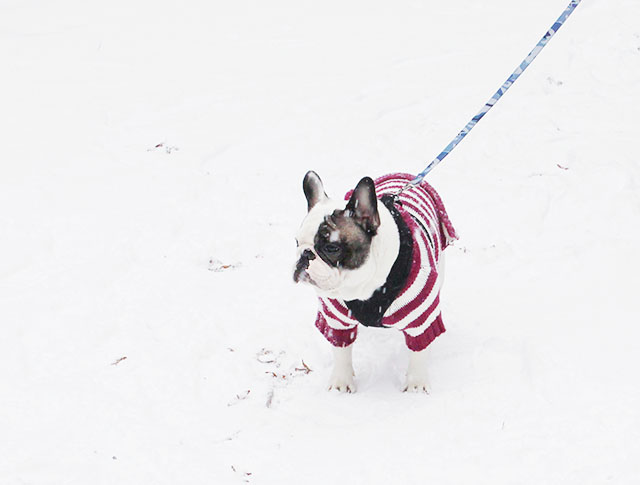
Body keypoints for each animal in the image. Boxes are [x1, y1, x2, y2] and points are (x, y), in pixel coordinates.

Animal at [292, 172, 458, 392]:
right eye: (296, 242)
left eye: (331, 248)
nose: (304, 255)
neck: (362, 286)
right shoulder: (336, 318)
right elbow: (341, 349)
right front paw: (341, 382)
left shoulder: (420, 319)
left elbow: (419, 353)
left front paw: (416, 385)